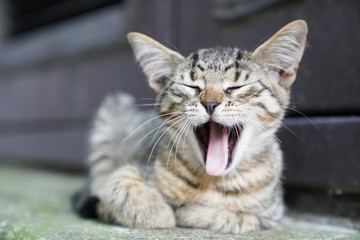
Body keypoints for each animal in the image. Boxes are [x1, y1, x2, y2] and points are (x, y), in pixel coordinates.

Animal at [74, 19, 306, 233]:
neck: (212, 181)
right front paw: (156, 212)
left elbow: (236, 218)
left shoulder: (270, 214)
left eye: (236, 87)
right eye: (192, 87)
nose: (210, 103)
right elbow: (121, 181)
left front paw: (191, 212)